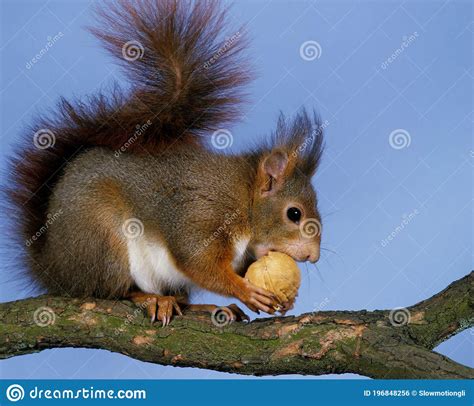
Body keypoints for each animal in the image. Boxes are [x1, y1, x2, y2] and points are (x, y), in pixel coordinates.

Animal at [7, 0, 324, 326]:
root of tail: (53, 268)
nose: (313, 257)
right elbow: (199, 263)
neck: (243, 198)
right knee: (110, 290)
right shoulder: (203, 214)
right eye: (294, 214)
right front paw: (244, 291)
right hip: (102, 238)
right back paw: (150, 299)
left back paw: (204, 307)